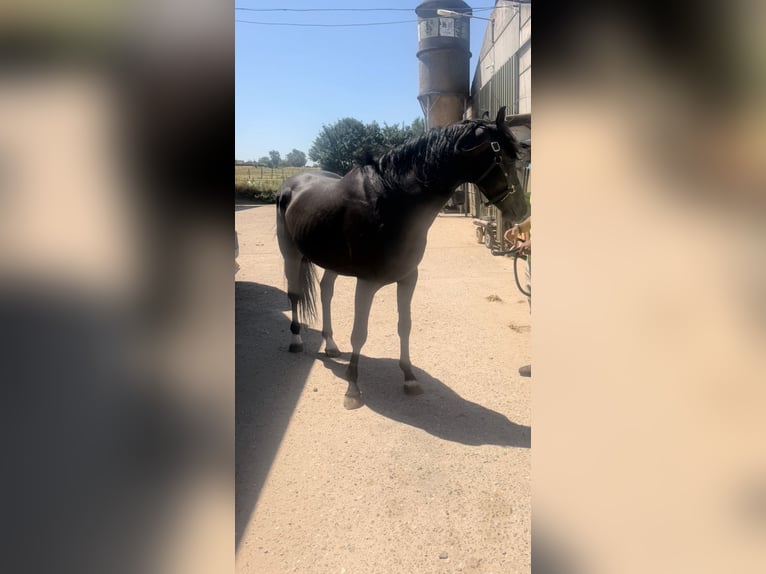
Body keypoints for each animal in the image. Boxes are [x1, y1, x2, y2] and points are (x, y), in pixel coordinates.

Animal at [276, 107, 528, 409]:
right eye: (503, 158)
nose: (522, 210)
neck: (392, 200)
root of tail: (291, 185)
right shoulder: (366, 283)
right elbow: (360, 332)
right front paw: (352, 389)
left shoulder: (408, 278)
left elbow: (404, 326)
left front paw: (409, 379)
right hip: (291, 255)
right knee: (295, 295)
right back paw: (297, 341)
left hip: (330, 262)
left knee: (326, 292)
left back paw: (331, 345)